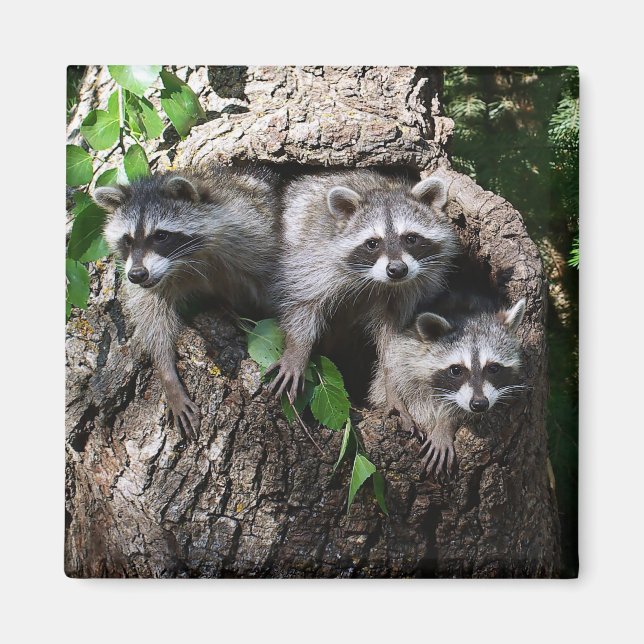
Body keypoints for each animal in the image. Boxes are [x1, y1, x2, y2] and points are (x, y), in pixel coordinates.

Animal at [93, 166, 280, 440]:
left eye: (161, 236)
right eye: (127, 240)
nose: (137, 274)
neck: (185, 262)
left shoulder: (253, 237)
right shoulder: (152, 282)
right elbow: (152, 319)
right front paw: (167, 374)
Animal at [267, 169, 460, 419]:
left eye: (411, 238)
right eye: (372, 243)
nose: (397, 270)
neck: (377, 282)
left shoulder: (406, 292)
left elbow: (392, 342)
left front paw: (391, 387)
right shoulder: (314, 255)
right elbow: (303, 302)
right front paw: (297, 350)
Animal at [369, 297, 527, 478]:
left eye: (493, 368)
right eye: (456, 370)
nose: (479, 404)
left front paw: (446, 422)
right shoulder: (405, 355)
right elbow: (407, 391)